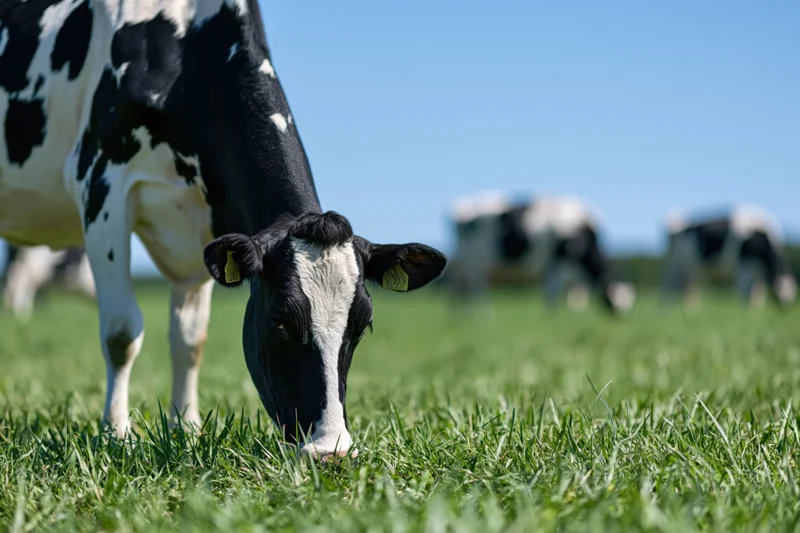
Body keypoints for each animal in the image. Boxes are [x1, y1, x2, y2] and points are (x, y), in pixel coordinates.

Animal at [0, 0, 447, 460]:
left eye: (362, 326)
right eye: (279, 321)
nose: (330, 451)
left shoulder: (204, 225)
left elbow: (190, 338)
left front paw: (186, 428)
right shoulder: (101, 184)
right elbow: (122, 333)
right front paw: (116, 434)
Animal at [447, 191, 636, 315]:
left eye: (629, 299)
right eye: (612, 299)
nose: (621, 318)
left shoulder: (560, 262)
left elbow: (563, 286)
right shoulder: (558, 257)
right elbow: (554, 286)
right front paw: (551, 314)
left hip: (467, 257)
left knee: (460, 279)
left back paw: (459, 313)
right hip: (477, 256)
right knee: (476, 282)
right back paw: (482, 314)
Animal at [661, 205, 796, 310]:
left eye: (793, 291)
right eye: (778, 289)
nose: (786, 307)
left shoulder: (759, 270)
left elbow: (758, 292)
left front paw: (756, 312)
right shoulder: (743, 264)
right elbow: (746, 290)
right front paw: (747, 314)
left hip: (692, 269)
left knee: (688, 287)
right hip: (677, 264)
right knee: (672, 285)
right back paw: (670, 311)